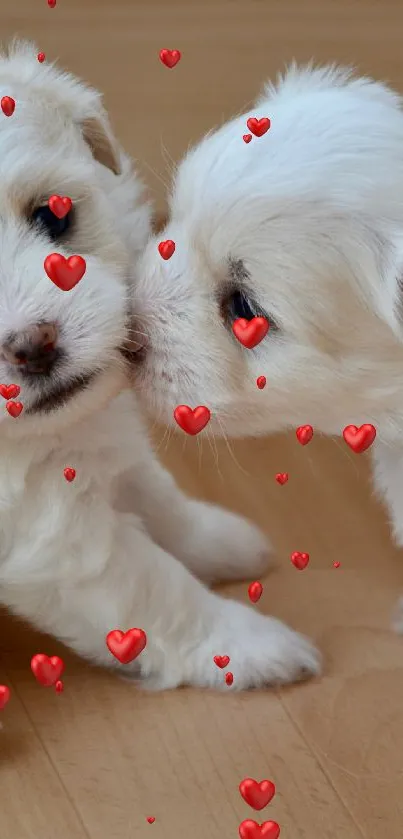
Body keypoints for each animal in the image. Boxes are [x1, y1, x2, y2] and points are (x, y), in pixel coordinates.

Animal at [0, 42, 322, 692]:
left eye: (53, 216)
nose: (33, 344)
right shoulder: (50, 535)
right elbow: (153, 590)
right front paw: (248, 646)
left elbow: (154, 494)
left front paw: (220, 541)